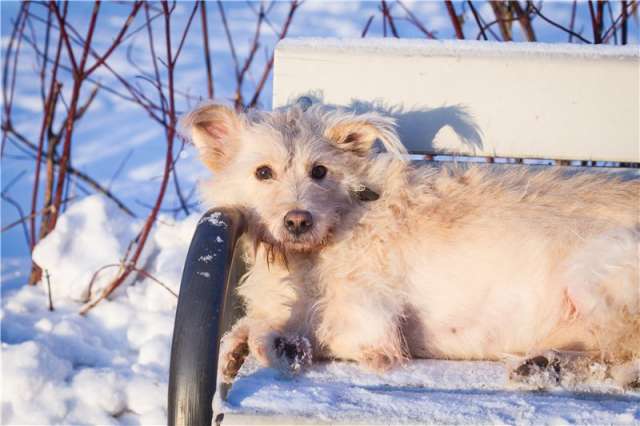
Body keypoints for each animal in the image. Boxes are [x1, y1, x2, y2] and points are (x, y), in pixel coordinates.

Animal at [181, 103, 640, 390]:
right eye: (263, 172)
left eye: (320, 171)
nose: (297, 221)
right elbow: (249, 324)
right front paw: (238, 347)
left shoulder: (372, 318)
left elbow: (324, 331)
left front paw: (282, 345)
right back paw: (543, 365)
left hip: (594, 271)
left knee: (623, 351)